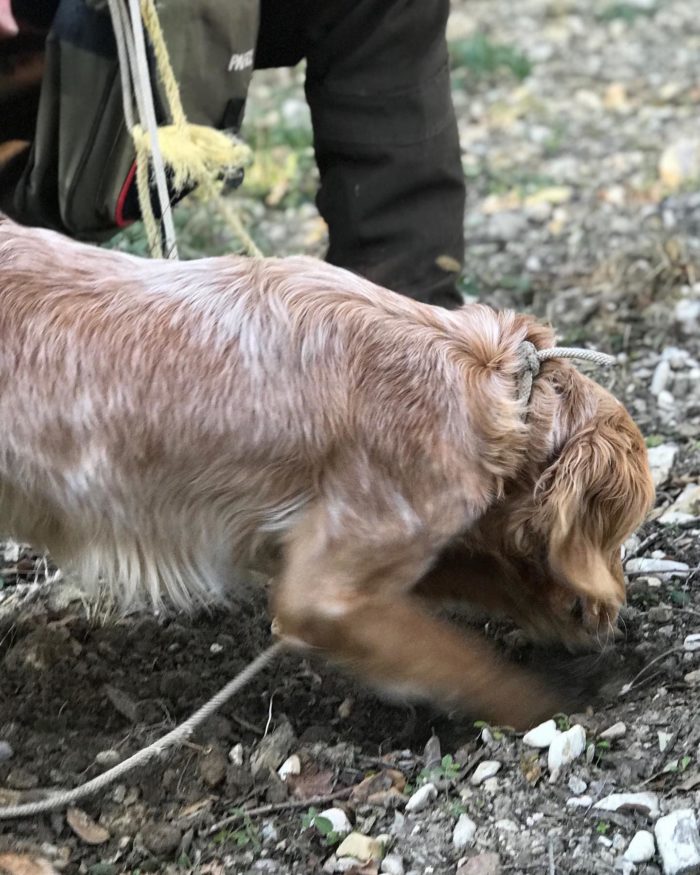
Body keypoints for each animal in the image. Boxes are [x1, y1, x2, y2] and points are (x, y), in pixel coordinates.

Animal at [0, 216, 656, 728]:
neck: (486, 383)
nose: (615, 606)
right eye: (618, 536)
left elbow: (491, 575)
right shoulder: (327, 591)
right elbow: (470, 662)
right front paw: (558, 702)